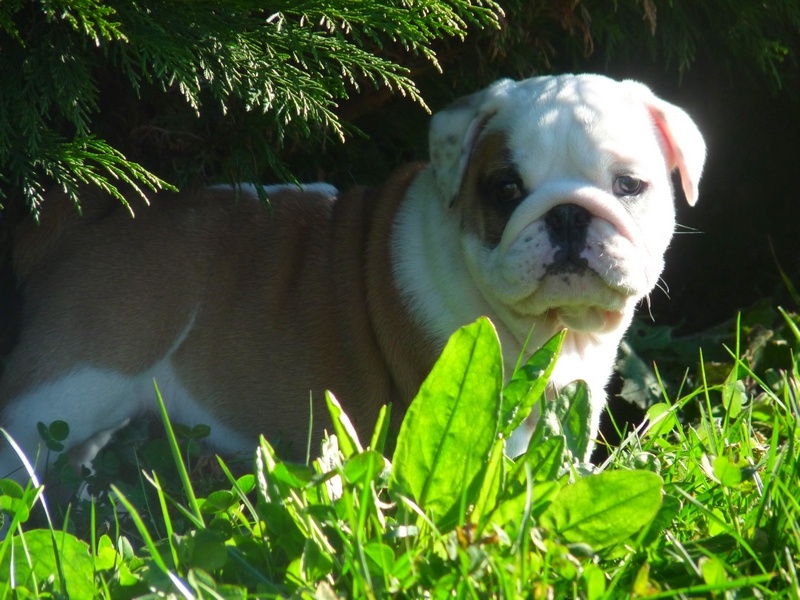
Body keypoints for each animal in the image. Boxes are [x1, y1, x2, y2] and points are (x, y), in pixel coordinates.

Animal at [0, 74, 705, 481]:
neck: (550, 330)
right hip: (69, 385)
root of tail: (90, 214)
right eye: (504, 189)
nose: (568, 213)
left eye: (629, 186)